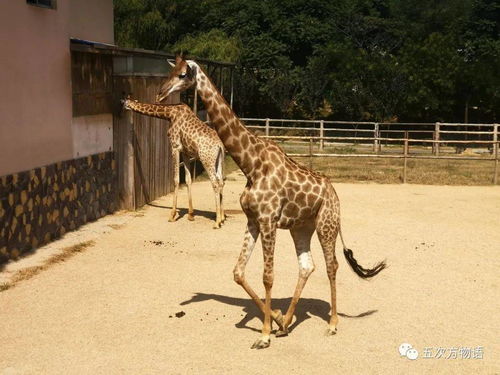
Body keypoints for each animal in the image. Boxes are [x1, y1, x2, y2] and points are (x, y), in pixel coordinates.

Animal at [122, 97, 226, 229]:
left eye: (125, 103)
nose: (122, 105)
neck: (170, 114)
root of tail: (220, 145)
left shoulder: (175, 147)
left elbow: (176, 179)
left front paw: (172, 215)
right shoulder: (186, 152)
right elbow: (188, 179)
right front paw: (190, 215)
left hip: (206, 159)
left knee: (215, 183)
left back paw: (217, 222)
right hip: (218, 161)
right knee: (221, 181)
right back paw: (222, 218)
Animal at [156, 54, 386, 352]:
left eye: (183, 74)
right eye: (170, 70)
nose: (161, 93)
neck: (250, 164)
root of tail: (335, 194)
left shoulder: (268, 221)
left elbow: (268, 276)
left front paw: (264, 334)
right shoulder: (253, 220)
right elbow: (238, 272)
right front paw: (276, 319)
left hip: (327, 225)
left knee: (331, 266)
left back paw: (332, 324)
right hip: (302, 227)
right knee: (307, 265)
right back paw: (287, 322)